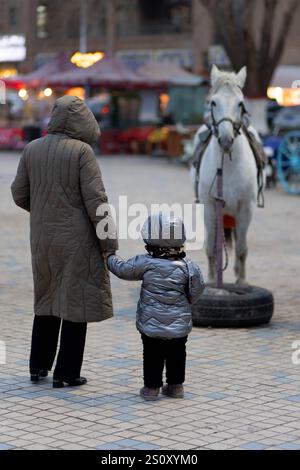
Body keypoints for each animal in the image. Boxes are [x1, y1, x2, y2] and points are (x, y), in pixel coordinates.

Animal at [195, 64, 260, 284]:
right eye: (213, 102)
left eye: (240, 103)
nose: (225, 140)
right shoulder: (210, 207)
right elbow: (211, 247)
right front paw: (212, 281)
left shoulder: (246, 209)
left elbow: (241, 249)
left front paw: (242, 282)